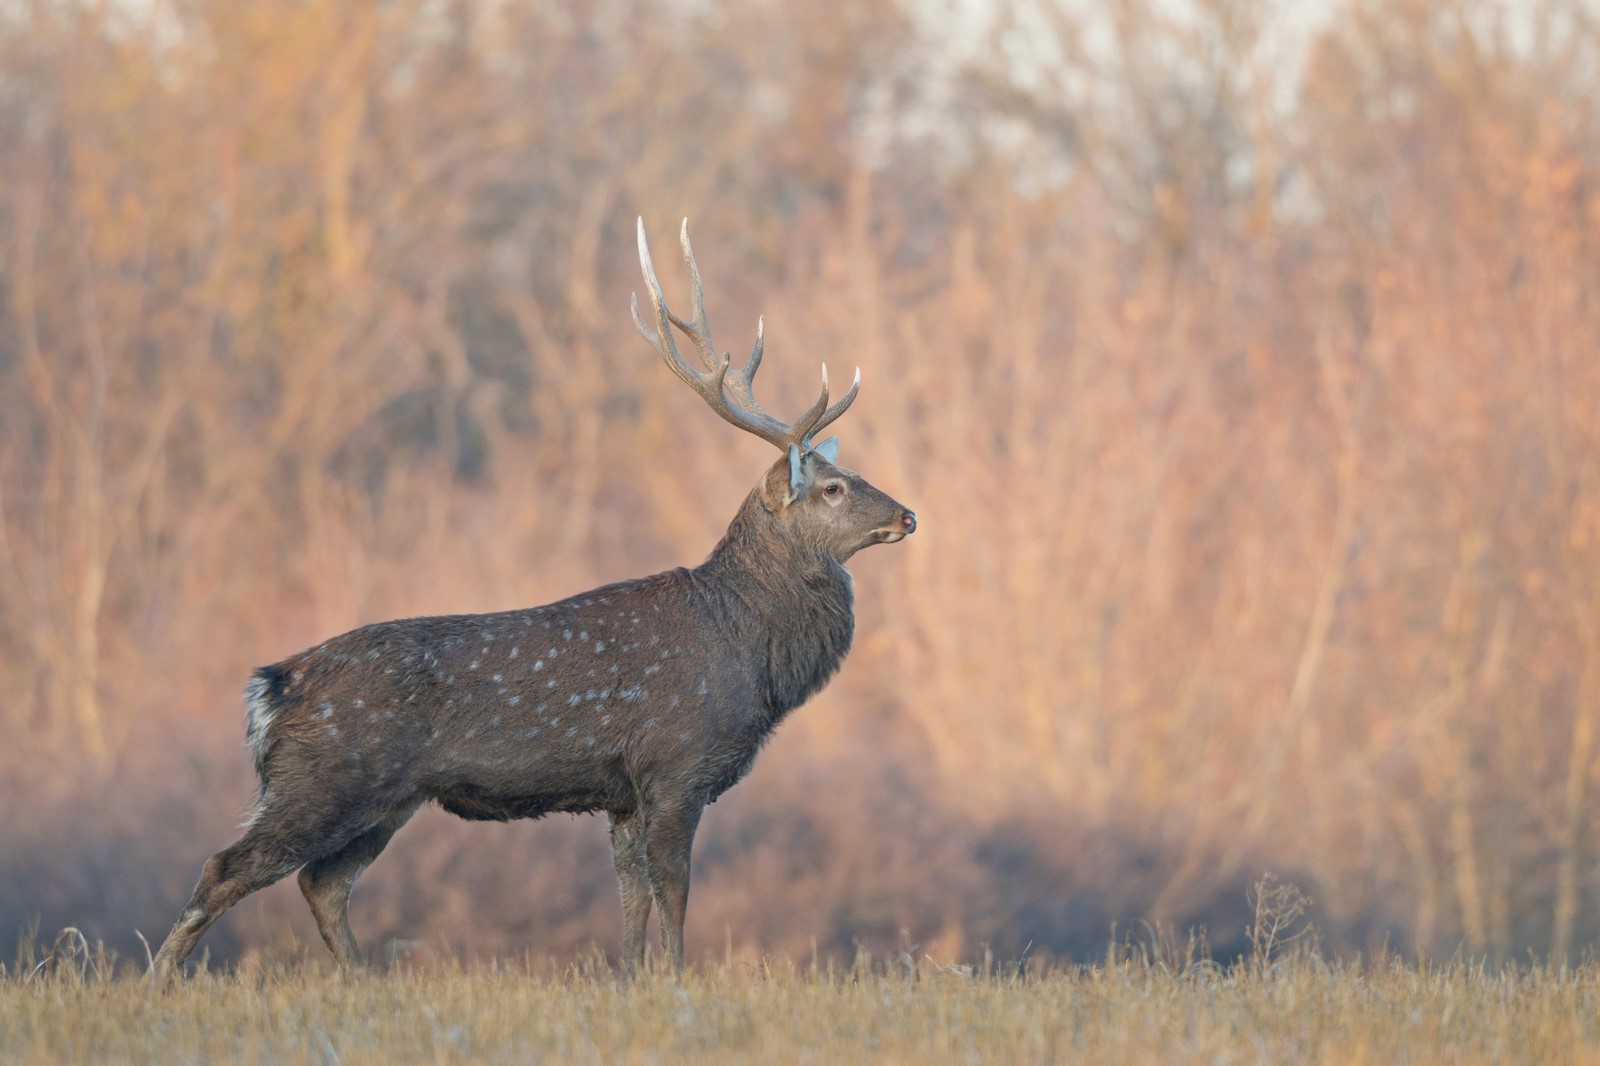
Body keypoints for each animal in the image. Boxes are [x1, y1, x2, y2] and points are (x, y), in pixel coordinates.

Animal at [152, 219, 928, 973]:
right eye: (833, 488)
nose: (908, 515)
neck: (750, 654)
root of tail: (271, 687)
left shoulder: (622, 793)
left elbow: (632, 900)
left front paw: (630, 980)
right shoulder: (676, 763)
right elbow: (674, 895)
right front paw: (677, 982)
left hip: (389, 797)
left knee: (323, 882)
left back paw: (362, 981)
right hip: (324, 776)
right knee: (226, 869)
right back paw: (160, 986)